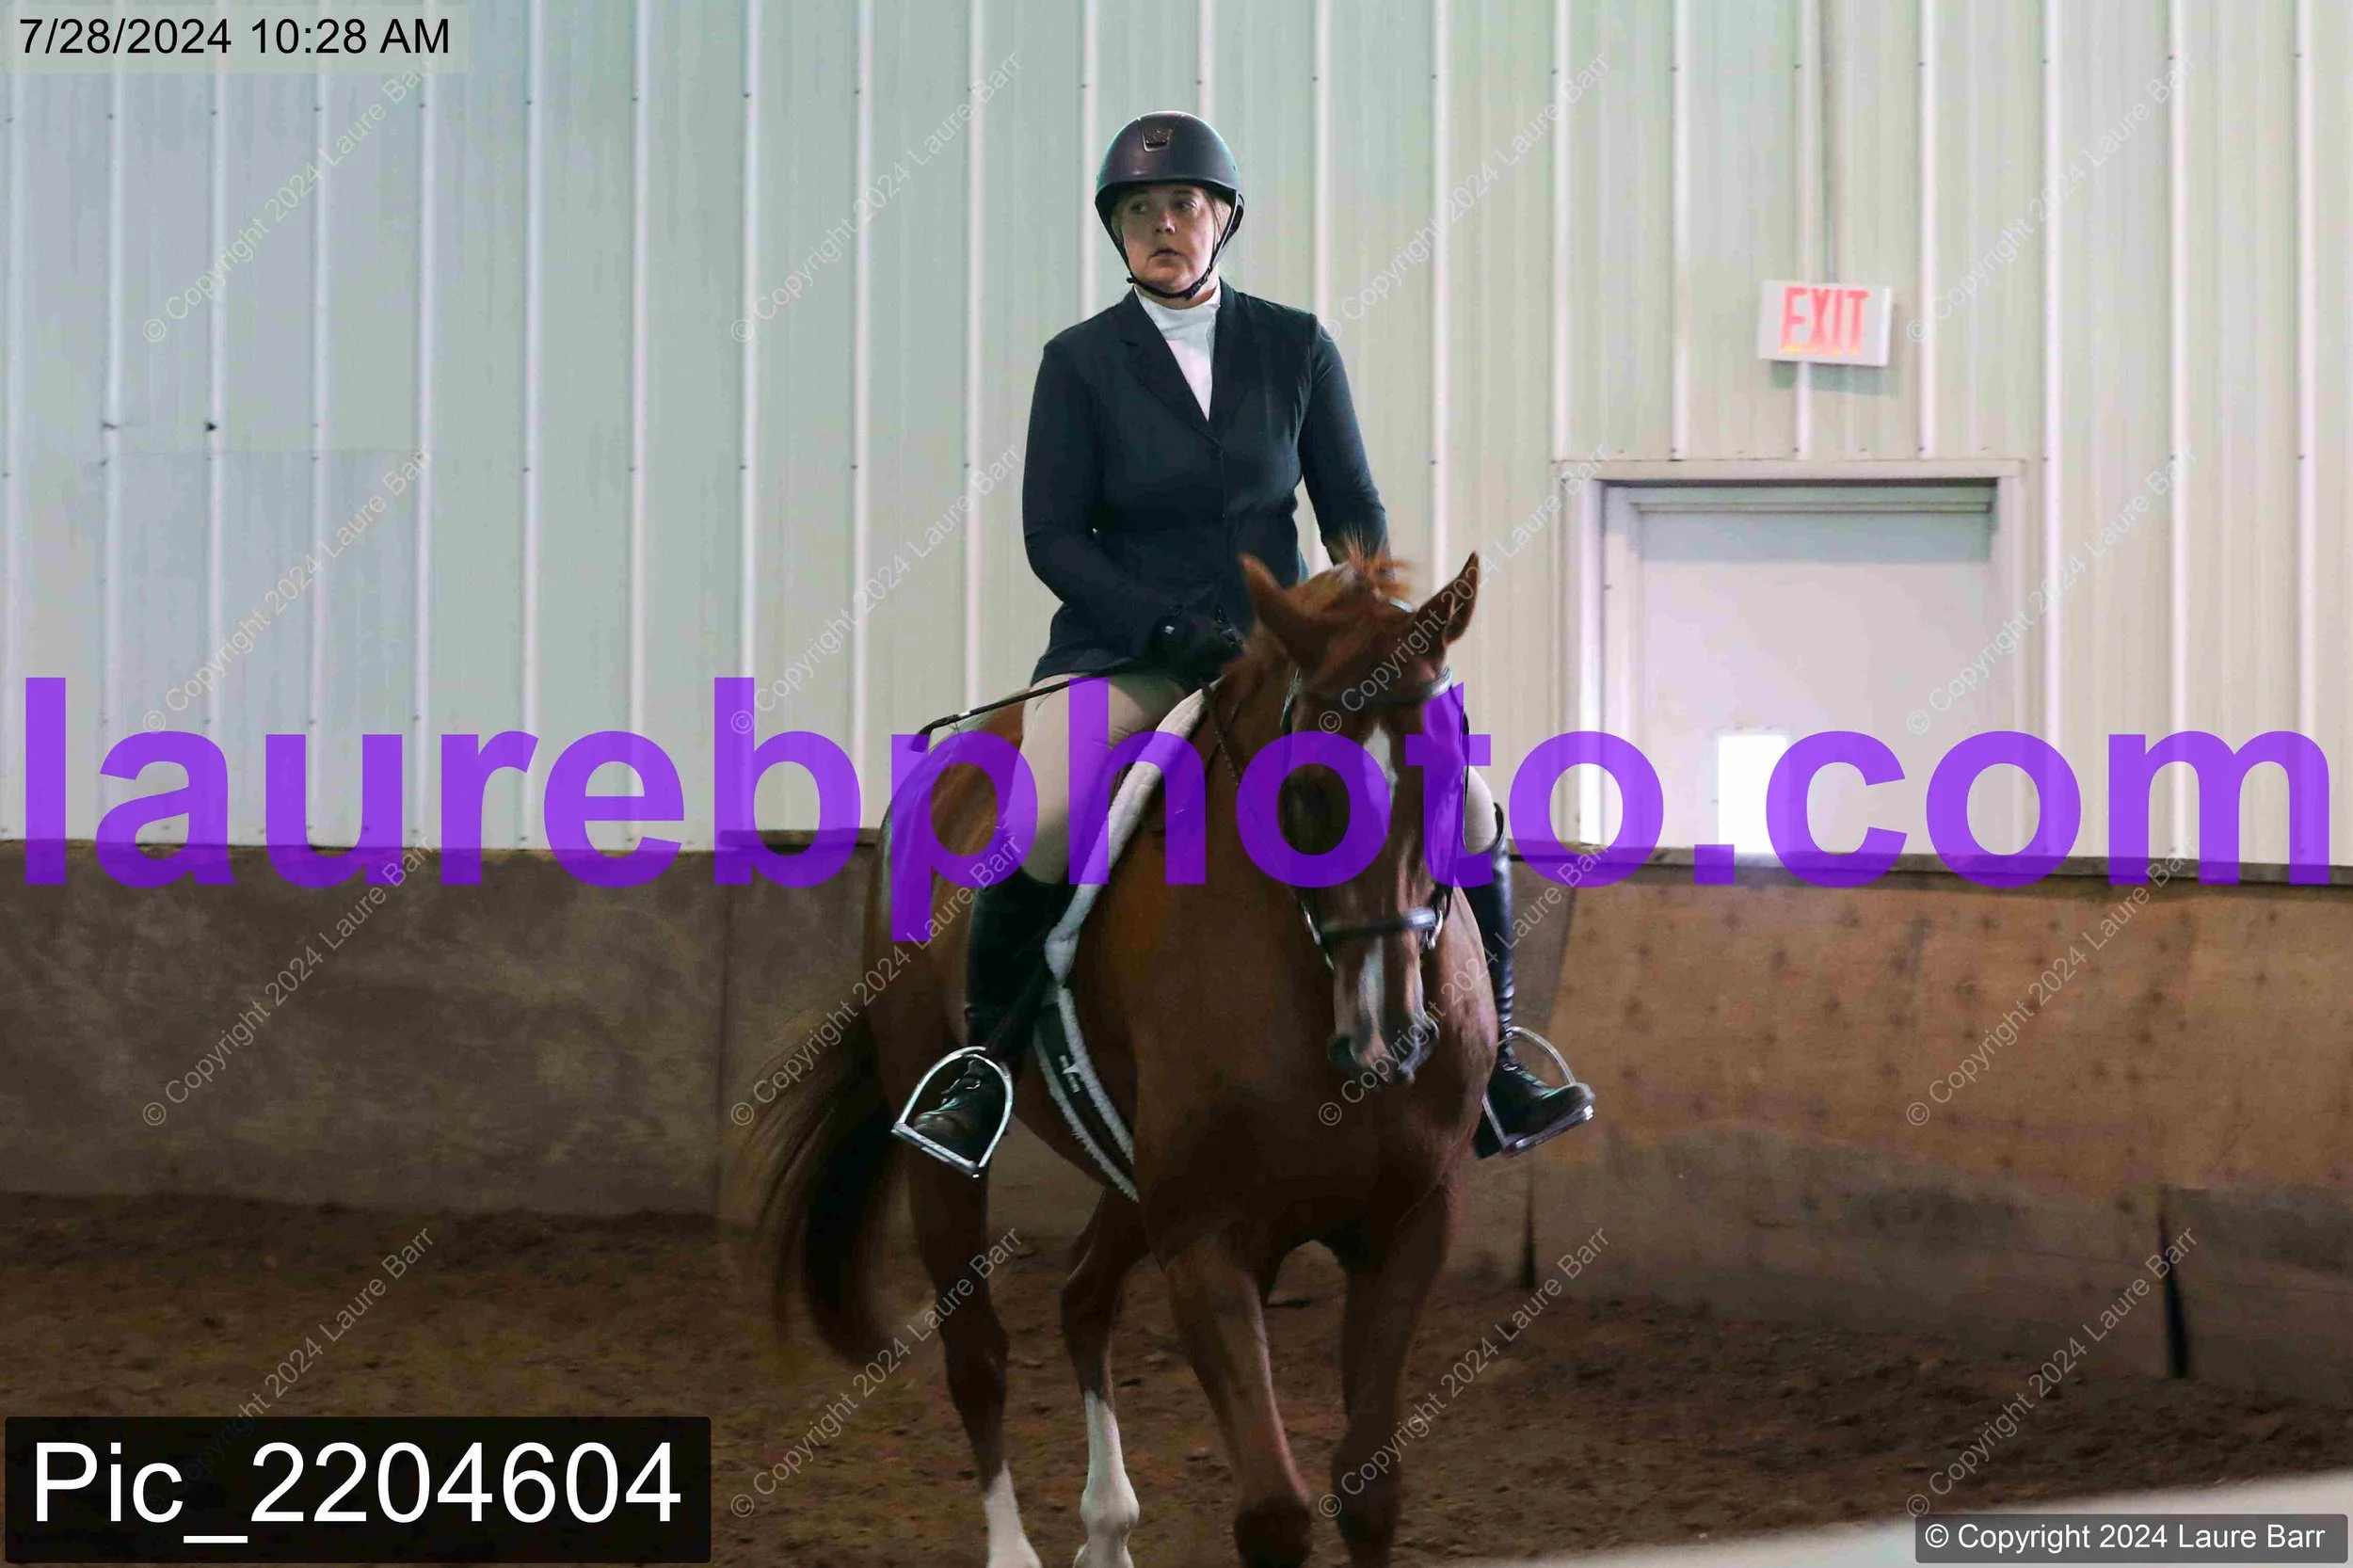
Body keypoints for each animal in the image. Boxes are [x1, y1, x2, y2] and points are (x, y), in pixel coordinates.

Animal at [726, 550, 1502, 1567]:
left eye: (1450, 780)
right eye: (1303, 796)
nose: (1388, 1031)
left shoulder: (1407, 1224)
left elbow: (1368, 1494)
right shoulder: (1207, 1236)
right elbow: (1274, 1511)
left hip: (1133, 1174)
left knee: (1082, 1297)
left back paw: (1107, 1526)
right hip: (946, 1147)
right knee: (978, 1354)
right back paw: (1015, 1549)